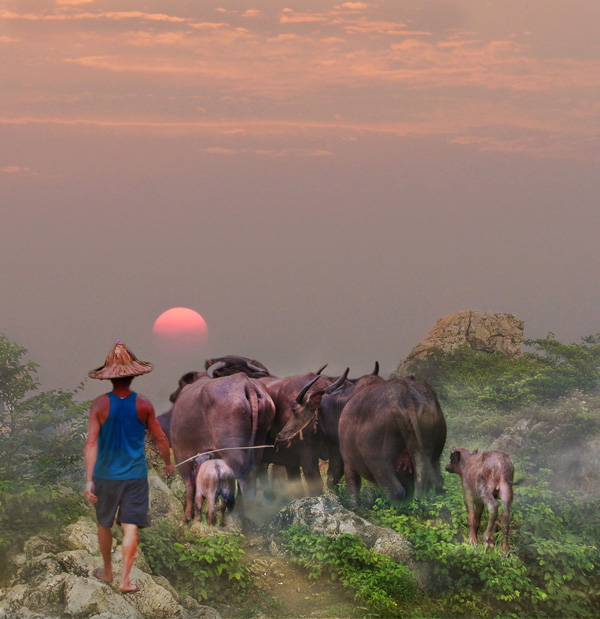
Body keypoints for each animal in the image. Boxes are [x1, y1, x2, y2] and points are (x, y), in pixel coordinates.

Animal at [338, 376, 446, 506]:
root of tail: (407, 393)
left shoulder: (348, 463)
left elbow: (353, 487)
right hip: (426, 449)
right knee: (424, 483)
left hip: (378, 460)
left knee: (396, 490)